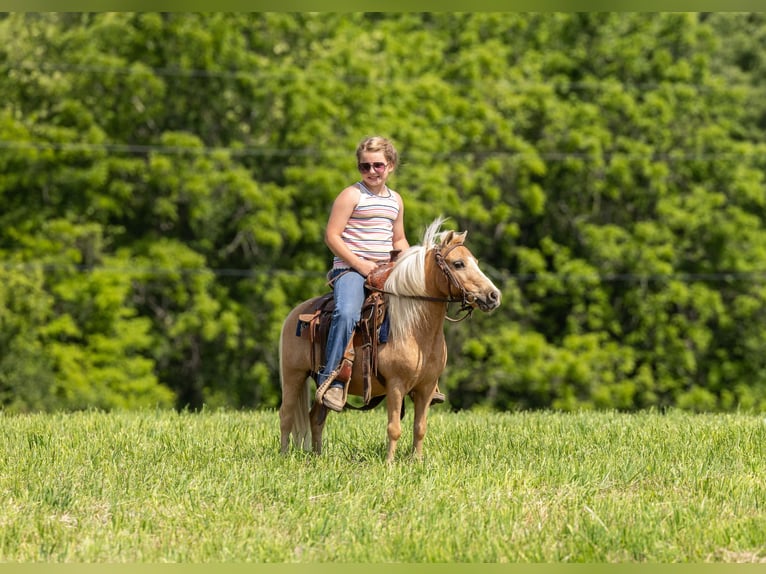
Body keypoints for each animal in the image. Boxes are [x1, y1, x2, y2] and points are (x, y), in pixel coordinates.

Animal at [278, 217, 501, 462]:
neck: (414, 329)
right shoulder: (396, 385)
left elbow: (420, 427)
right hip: (294, 375)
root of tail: (296, 313)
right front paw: (390, 463)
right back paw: (283, 455)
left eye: (476, 262)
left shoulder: (426, 388)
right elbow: (394, 428)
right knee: (286, 415)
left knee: (316, 416)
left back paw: (318, 457)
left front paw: (417, 462)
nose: (493, 296)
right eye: (459, 263)